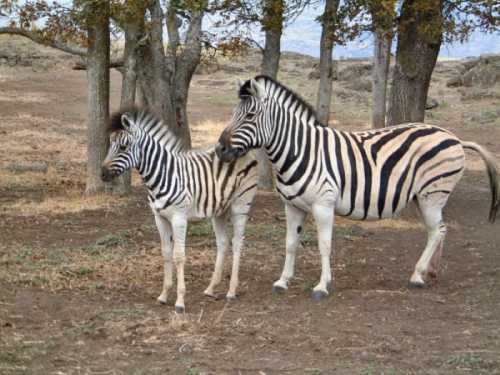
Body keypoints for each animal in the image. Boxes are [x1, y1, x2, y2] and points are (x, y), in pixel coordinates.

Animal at [101, 107, 258, 312]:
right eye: (111, 145)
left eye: (123, 147)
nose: (102, 174)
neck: (162, 175)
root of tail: (242, 150)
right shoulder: (159, 218)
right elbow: (166, 253)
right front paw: (164, 294)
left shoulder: (179, 218)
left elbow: (179, 255)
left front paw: (180, 301)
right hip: (219, 210)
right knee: (223, 243)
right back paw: (211, 288)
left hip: (240, 205)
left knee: (238, 242)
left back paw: (231, 291)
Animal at [216, 75, 500, 302]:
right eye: (232, 113)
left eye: (250, 116)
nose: (220, 149)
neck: (300, 150)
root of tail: (455, 138)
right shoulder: (292, 205)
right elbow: (290, 243)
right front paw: (282, 281)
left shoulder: (323, 204)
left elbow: (324, 245)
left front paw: (322, 286)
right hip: (422, 197)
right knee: (439, 230)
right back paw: (430, 272)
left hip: (433, 194)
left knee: (437, 231)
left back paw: (417, 276)